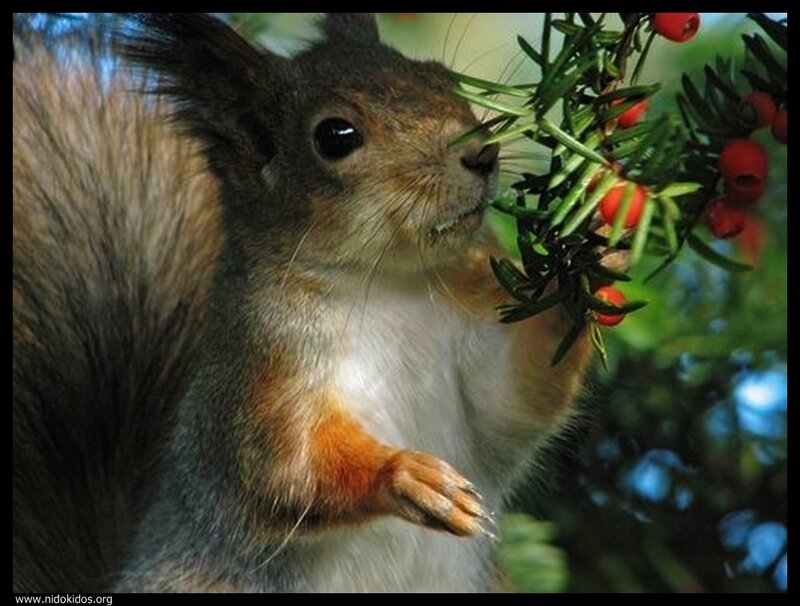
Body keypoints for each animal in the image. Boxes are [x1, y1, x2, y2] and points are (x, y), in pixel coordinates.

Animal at [13, 13, 594, 592]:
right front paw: (405, 474)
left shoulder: (477, 348)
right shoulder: (258, 373)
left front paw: (583, 266)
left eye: (443, 78)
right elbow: (284, 472)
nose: (481, 153)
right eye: (335, 136)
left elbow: (517, 397)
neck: (392, 286)